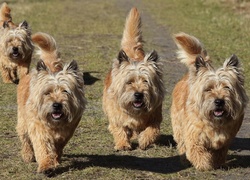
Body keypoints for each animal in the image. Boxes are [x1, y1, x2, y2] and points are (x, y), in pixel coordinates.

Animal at [16, 32, 86, 173]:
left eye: (65, 91)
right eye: (47, 92)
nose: (57, 105)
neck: (55, 124)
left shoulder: (68, 131)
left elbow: (58, 146)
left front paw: (56, 159)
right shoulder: (38, 128)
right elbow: (43, 147)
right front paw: (46, 165)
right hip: (22, 120)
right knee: (24, 137)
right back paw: (27, 155)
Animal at [102, 7, 165, 150]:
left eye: (146, 81)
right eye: (129, 82)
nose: (138, 94)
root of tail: (132, 53)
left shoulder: (155, 115)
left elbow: (153, 129)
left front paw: (144, 140)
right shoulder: (116, 116)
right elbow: (119, 129)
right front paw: (122, 144)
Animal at [170, 32, 248, 170]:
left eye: (227, 87)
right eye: (208, 89)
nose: (219, 101)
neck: (215, 123)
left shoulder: (224, 141)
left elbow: (219, 154)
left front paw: (216, 163)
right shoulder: (194, 136)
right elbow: (197, 152)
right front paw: (204, 165)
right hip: (178, 124)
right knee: (182, 143)